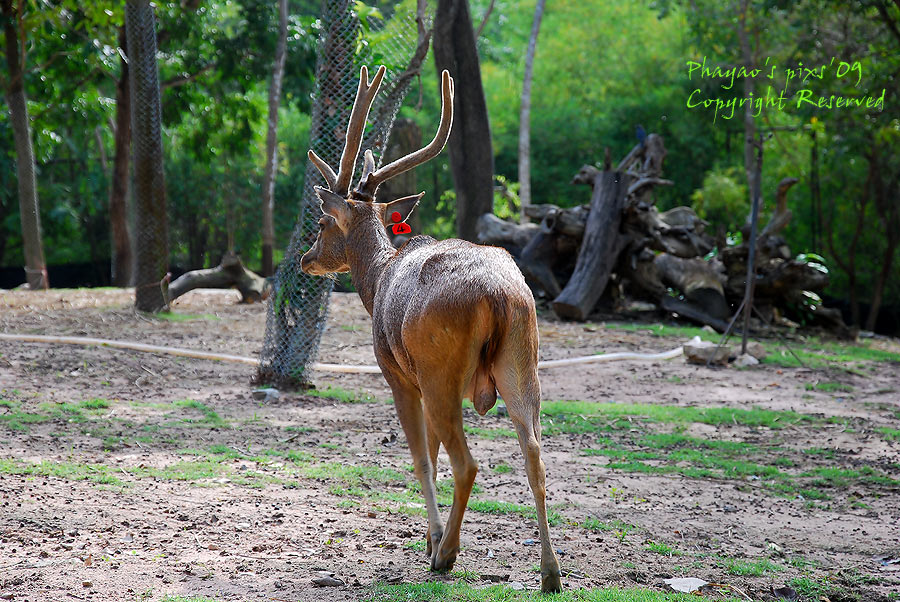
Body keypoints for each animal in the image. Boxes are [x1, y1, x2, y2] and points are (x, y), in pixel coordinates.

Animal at [302, 65, 564, 592]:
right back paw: (550, 574)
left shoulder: (399, 375)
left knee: (467, 462)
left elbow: (424, 458)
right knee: (535, 455)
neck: (377, 279)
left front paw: (432, 540)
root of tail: (499, 295)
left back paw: (447, 556)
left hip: (441, 369)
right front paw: (430, 537)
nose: (305, 259)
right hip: (524, 362)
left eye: (321, 222)